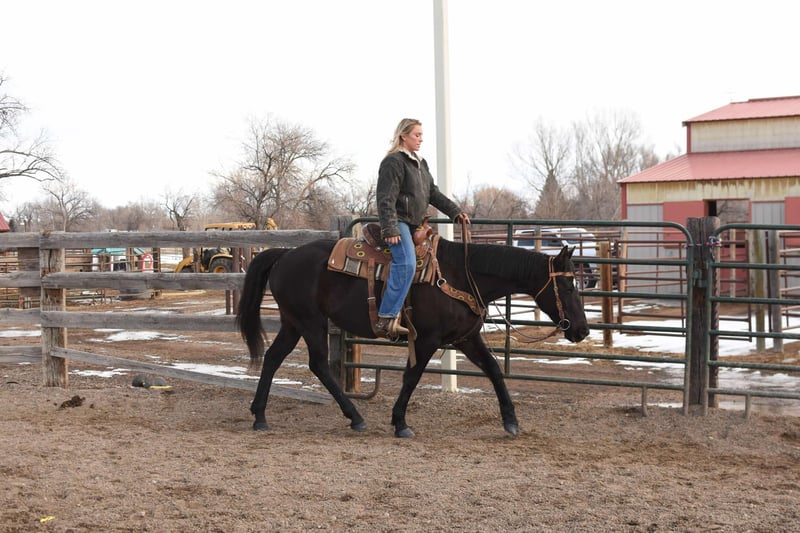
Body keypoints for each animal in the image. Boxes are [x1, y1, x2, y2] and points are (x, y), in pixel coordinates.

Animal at [237, 235, 590, 438]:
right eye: (568, 286)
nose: (583, 329)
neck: (462, 275)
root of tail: (285, 254)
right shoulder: (426, 339)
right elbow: (413, 375)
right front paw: (400, 422)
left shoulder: (466, 339)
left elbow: (493, 371)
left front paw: (511, 421)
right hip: (310, 322)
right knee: (319, 365)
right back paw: (356, 417)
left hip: (293, 322)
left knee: (274, 357)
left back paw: (260, 416)